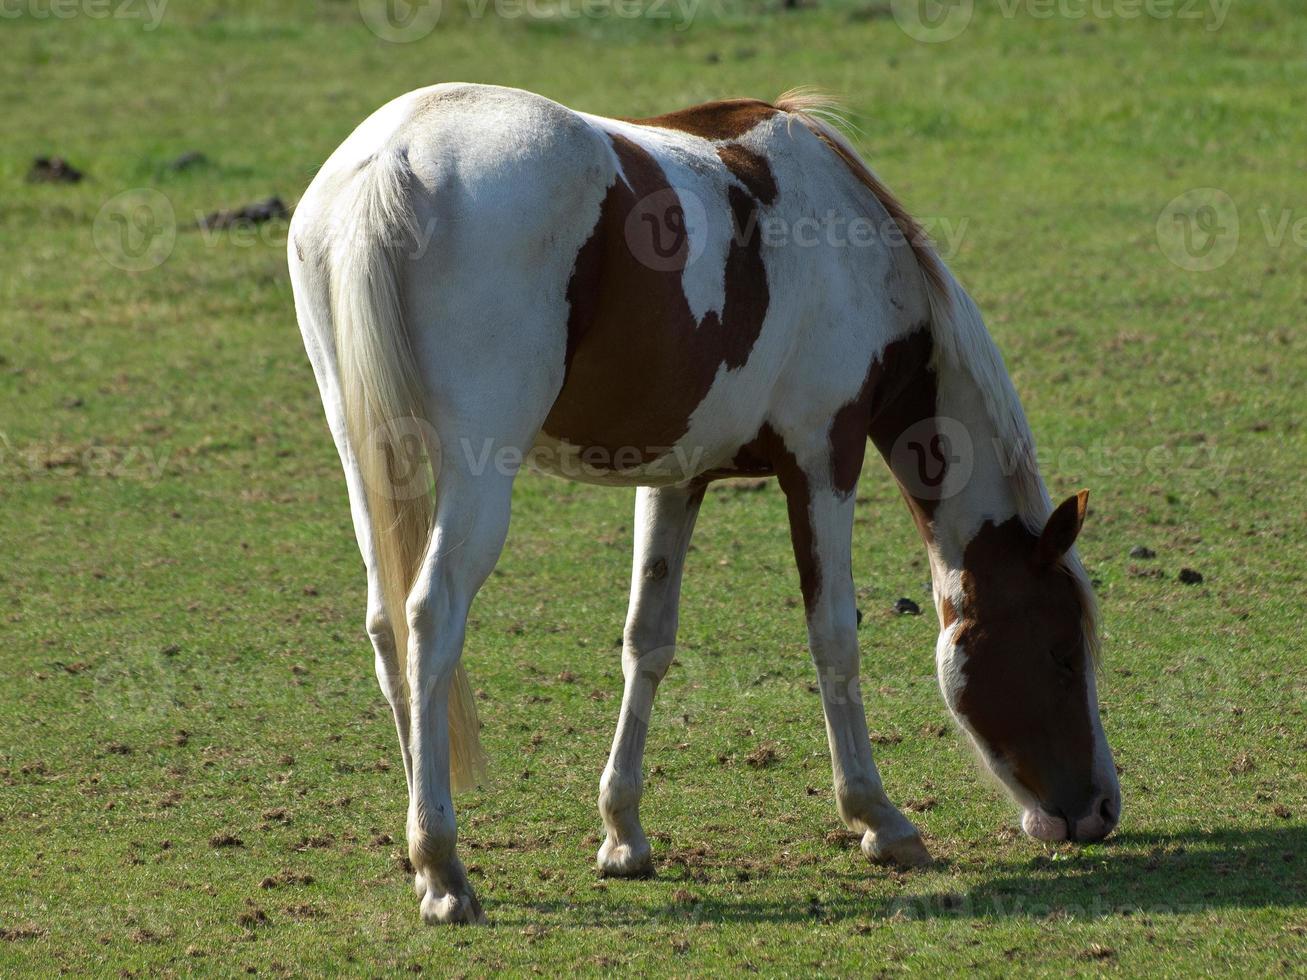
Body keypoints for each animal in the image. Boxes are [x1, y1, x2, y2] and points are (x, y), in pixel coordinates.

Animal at [288, 84, 1124, 930]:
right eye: (1061, 652)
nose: (1099, 810)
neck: (851, 246)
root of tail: (396, 154)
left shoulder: (674, 479)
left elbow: (647, 642)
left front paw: (623, 832)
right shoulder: (824, 459)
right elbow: (834, 638)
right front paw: (878, 819)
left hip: (365, 457)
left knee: (387, 625)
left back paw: (422, 852)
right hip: (476, 475)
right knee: (431, 617)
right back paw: (443, 866)